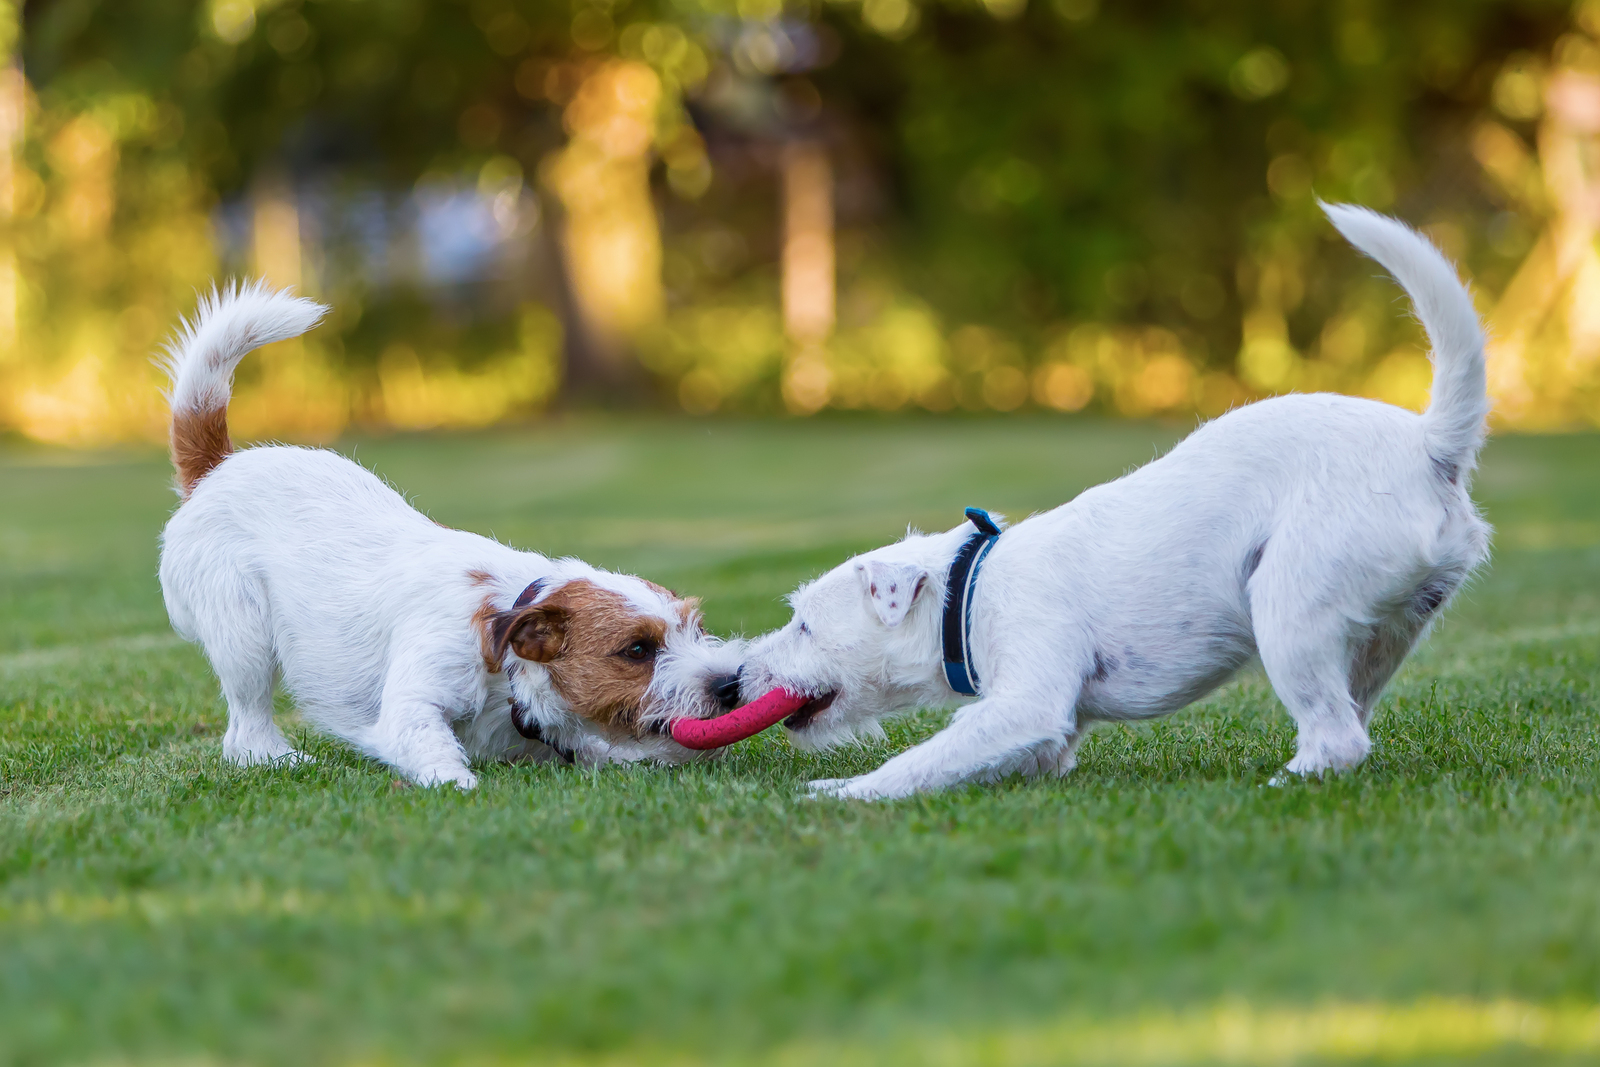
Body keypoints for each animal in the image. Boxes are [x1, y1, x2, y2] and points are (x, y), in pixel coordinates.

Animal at [156, 279, 742, 790]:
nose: (729, 684)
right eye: (637, 650)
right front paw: (457, 785)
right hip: (245, 640)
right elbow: (431, 747)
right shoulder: (414, 701)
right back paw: (279, 759)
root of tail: (217, 467)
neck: (506, 655)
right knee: (245, 730)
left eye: (696, 628)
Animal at [742, 204, 1491, 796]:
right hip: (1380, 635)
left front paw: (838, 792)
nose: (737, 677)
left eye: (803, 624)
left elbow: (922, 759)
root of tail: (1429, 445)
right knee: (1351, 724)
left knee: (1336, 738)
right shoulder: (1046, 731)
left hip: (1289, 606)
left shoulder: (1026, 701)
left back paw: (1278, 785)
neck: (968, 591)